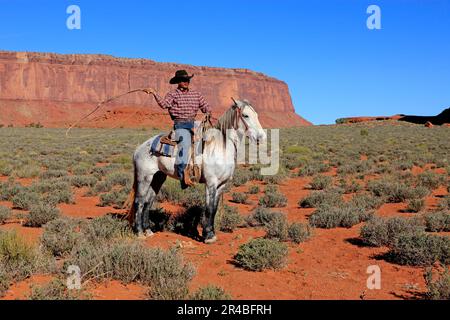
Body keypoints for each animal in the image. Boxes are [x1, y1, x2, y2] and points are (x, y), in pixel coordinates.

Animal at [125, 99, 268, 244]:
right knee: (139, 201)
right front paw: (208, 236)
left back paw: (148, 230)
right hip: (144, 177)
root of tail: (139, 148)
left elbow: (214, 209)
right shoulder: (211, 183)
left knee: (148, 201)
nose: (262, 137)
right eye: (245, 115)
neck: (220, 148)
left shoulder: (221, 185)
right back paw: (139, 232)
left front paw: (211, 233)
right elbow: (209, 209)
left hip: (158, 178)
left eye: (256, 115)